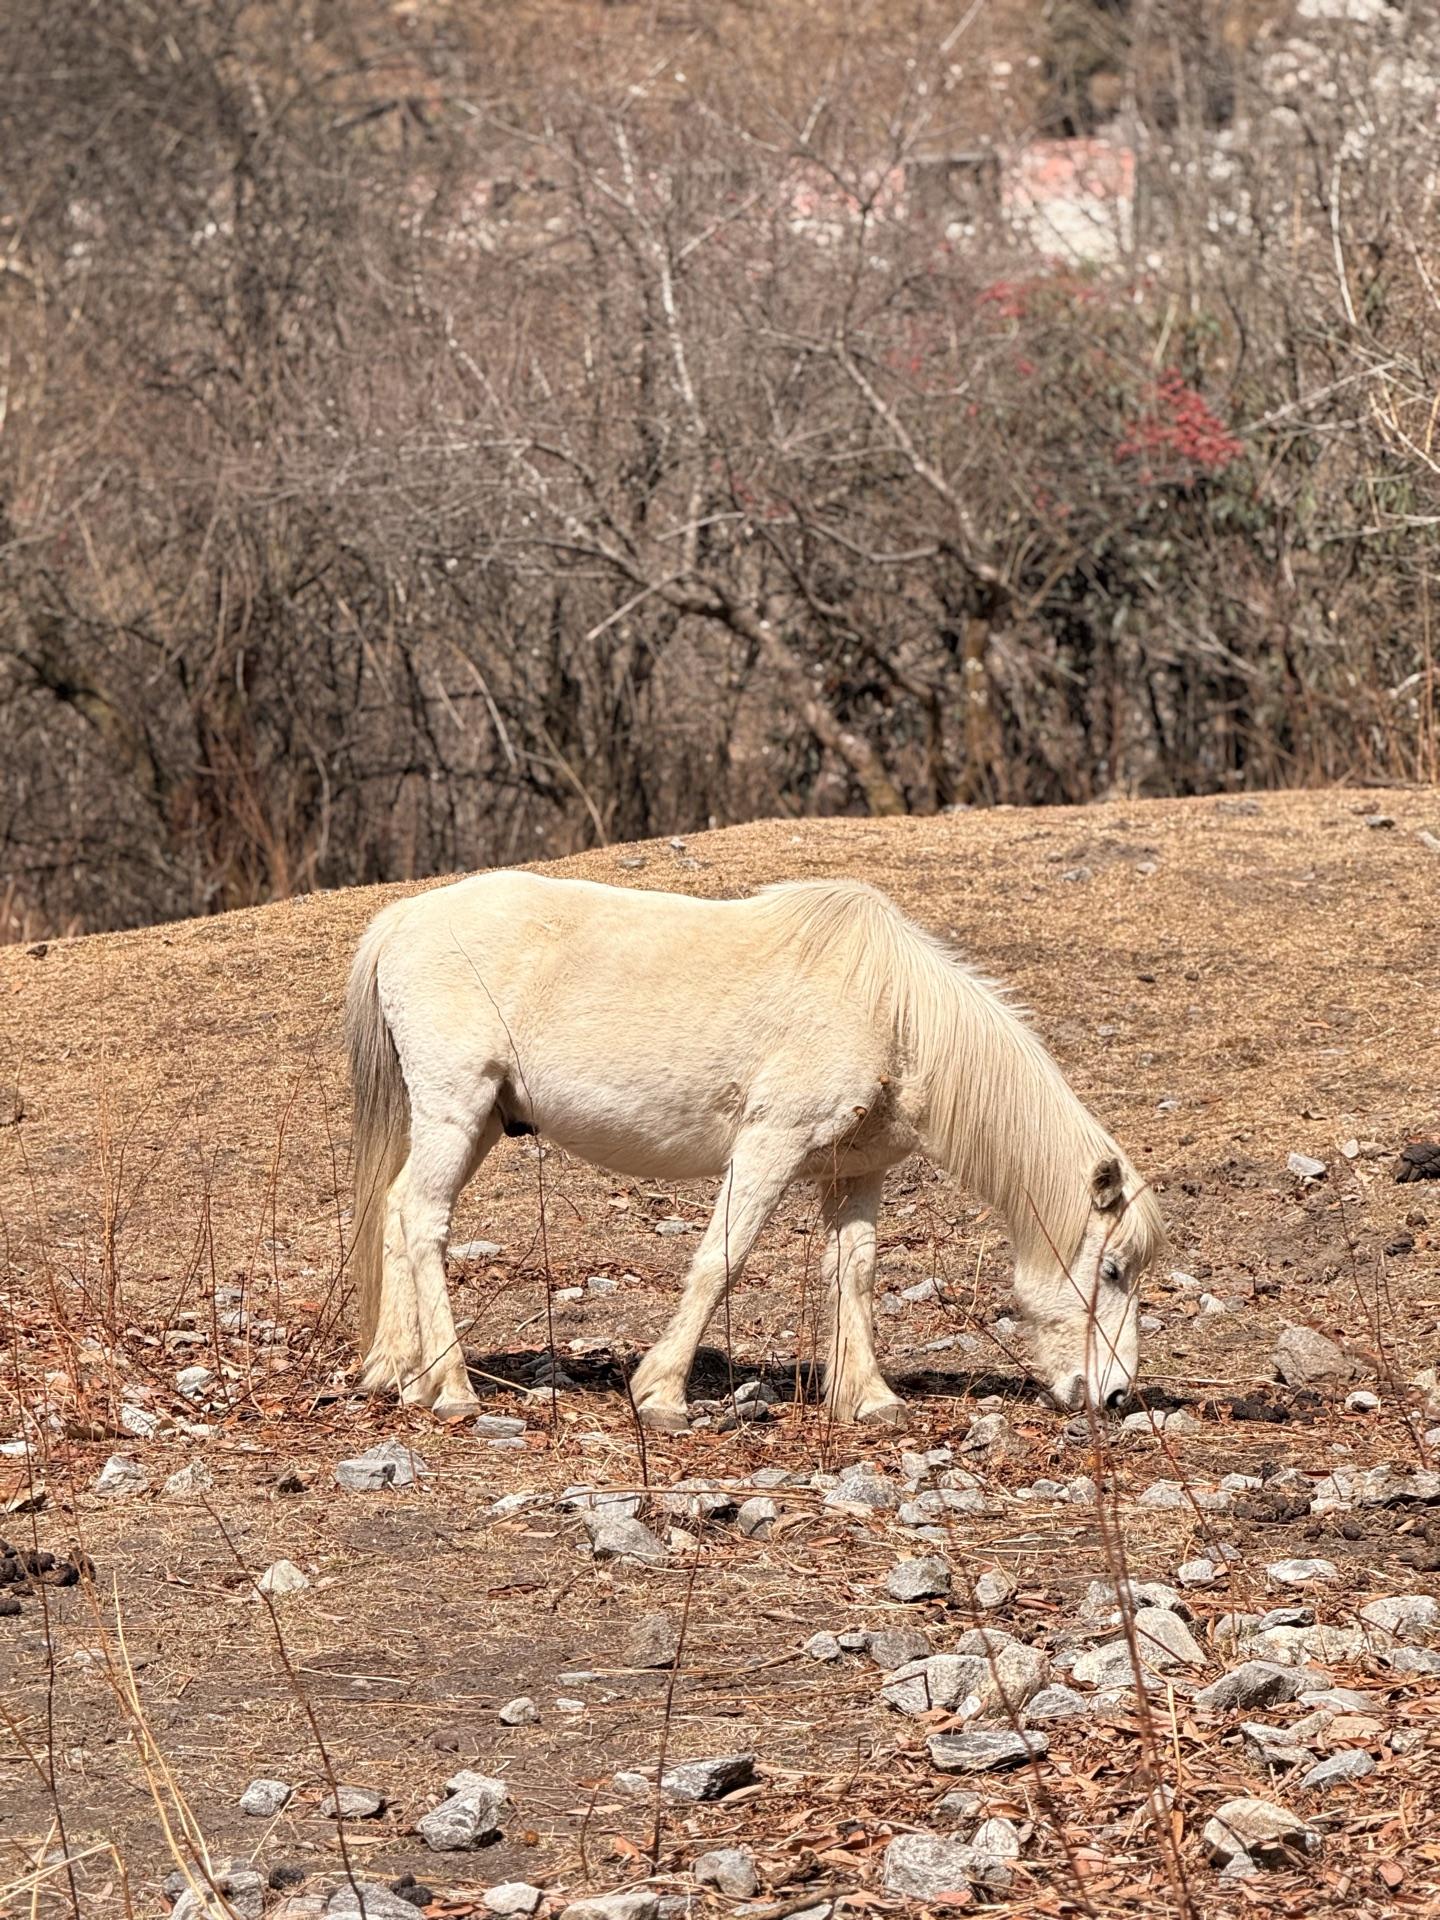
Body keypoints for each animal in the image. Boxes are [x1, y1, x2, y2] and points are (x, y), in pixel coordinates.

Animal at [345, 871, 1165, 1426]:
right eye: (1113, 1270)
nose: (1117, 1394)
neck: (889, 1006)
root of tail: (403, 918)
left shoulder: (855, 1173)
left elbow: (854, 1274)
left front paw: (869, 1399)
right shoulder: (771, 1142)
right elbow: (721, 1260)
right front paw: (660, 1395)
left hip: (478, 1120)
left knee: (396, 1209)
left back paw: (396, 1374)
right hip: (456, 1108)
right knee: (424, 1219)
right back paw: (452, 1388)